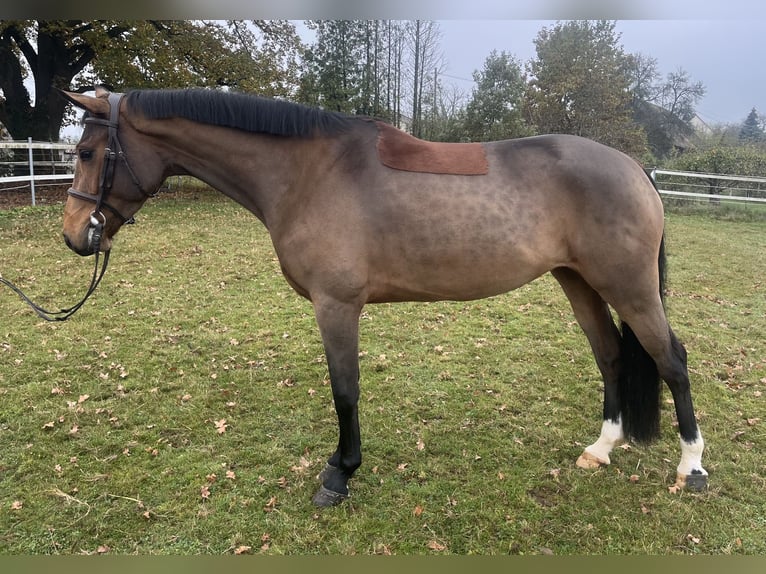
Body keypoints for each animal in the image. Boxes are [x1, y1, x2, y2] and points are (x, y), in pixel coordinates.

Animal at [58, 86, 708, 508]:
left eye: (87, 154)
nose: (73, 235)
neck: (309, 172)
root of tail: (635, 168)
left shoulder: (336, 305)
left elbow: (344, 391)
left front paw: (339, 474)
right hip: (579, 282)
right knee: (612, 356)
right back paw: (602, 449)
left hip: (630, 288)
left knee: (672, 362)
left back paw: (692, 468)